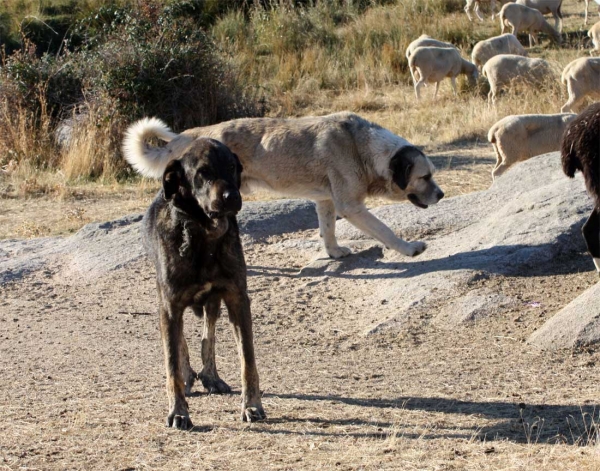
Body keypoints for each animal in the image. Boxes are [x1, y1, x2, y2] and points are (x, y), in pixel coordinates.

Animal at [123, 111, 446, 258]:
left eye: (432, 174)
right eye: (424, 177)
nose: (442, 195)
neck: (364, 148)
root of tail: (186, 136)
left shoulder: (326, 202)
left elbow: (328, 231)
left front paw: (334, 253)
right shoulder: (351, 207)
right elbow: (385, 230)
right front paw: (409, 248)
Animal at [142, 138, 266, 430]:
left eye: (232, 167)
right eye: (203, 172)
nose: (232, 197)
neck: (204, 237)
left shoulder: (237, 299)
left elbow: (247, 360)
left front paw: (252, 406)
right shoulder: (169, 306)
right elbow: (172, 364)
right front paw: (179, 411)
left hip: (214, 302)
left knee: (207, 336)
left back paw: (210, 376)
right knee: (182, 342)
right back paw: (191, 376)